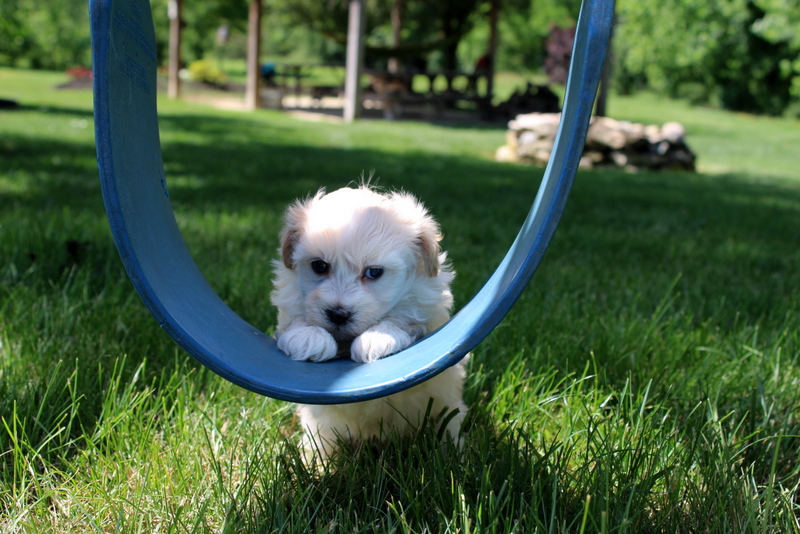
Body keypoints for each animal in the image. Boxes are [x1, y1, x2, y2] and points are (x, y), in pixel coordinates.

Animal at [270, 186, 466, 462]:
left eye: (374, 272)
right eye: (319, 265)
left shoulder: (426, 301)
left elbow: (405, 315)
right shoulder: (289, 295)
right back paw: (316, 461)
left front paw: (378, 338)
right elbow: (294, 316)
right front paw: (308, 337)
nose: (338, 314)